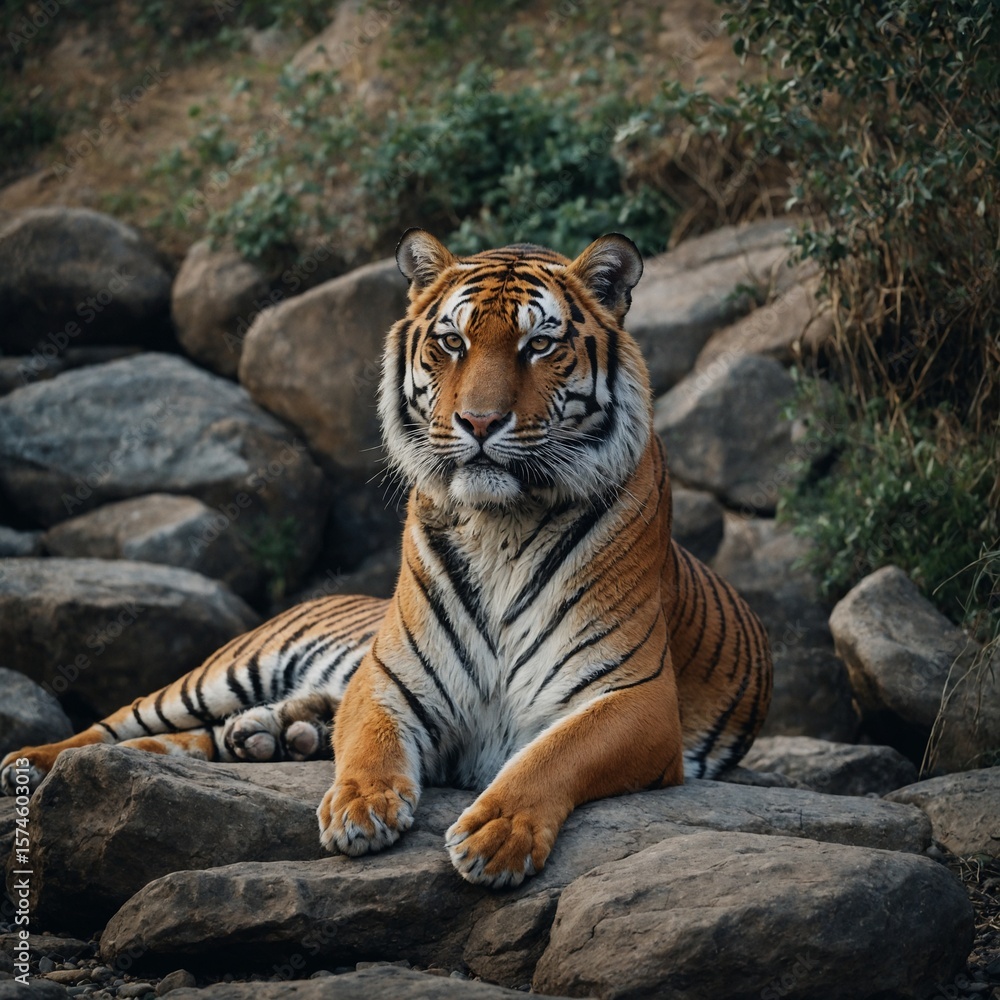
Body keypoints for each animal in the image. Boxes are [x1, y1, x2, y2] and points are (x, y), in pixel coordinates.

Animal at [0, 229, 772, 888]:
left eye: (538, 345)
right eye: (453, 342)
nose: (479, 423)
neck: (500, 525)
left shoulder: (632, 698)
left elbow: (556, 752)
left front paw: (496, 833)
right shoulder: (389, 676)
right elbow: (370, 739)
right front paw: (360, 808)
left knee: (194, 739)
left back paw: (278, 734)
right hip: (223, 672)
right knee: (115, 729)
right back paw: (31, 764)